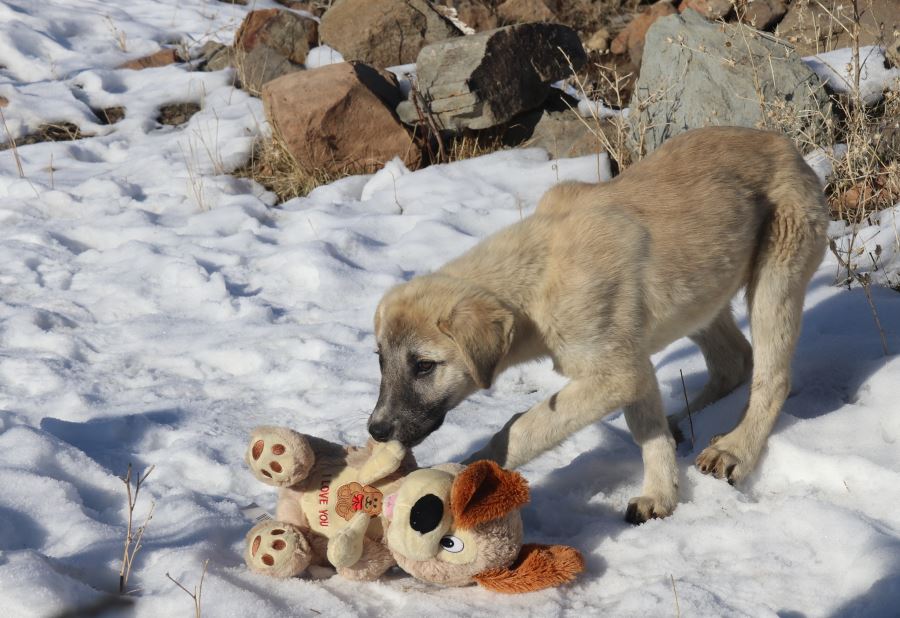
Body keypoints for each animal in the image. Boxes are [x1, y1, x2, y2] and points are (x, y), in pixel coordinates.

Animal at [368, 127, 828, 524]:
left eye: (424, 366)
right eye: (380, 360)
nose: (376, 430)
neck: (539, 275)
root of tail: (787, 146)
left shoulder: (616, 372)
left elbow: (526, 426)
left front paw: (466, 473)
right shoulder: (633, 365)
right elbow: (648, 429)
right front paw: (661, 494)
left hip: (775, 277)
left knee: (771, 377)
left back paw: (736, 449)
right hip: (702, 294)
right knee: (734, 360)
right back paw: (686, 421)